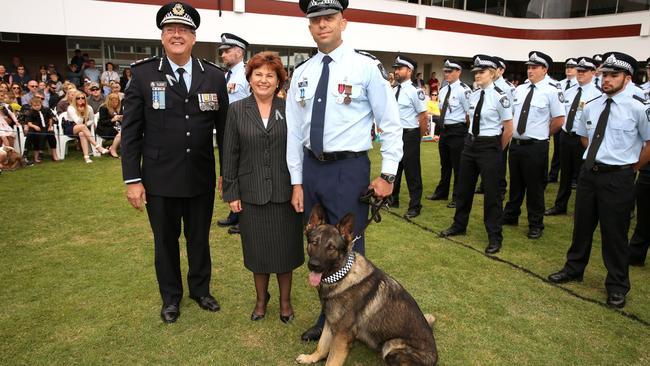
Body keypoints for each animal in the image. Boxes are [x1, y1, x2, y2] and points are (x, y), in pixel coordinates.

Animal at [296, 204, 438, 366]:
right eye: (314, 242)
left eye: (331, 248)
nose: (314, 265)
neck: (342, 276)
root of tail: (434, 357)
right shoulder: (330, 324)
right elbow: (322, 345)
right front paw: (311, 358)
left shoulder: (341, 336)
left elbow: (331, 360)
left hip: (391, 345)